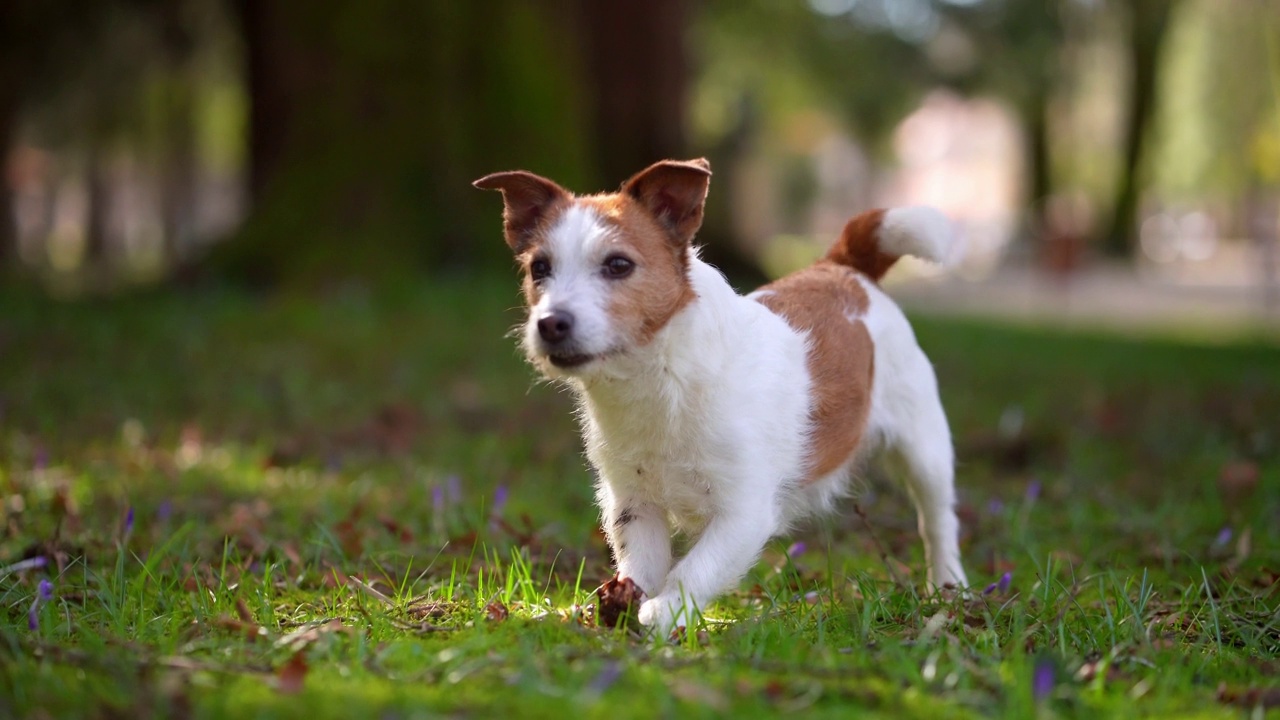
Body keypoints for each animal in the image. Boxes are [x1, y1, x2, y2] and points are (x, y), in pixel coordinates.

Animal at [476, 156, 962, 627]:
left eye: (618, 265)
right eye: (539, 268)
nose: (550, 324)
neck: (661, 376)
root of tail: (843, 268)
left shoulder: (743, 511)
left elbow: (695, 569)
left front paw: (664, 614)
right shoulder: (633, 503)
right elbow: (641, 564)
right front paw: (623, 603)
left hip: (925, 448)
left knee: (937, 520)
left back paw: (950, 589)